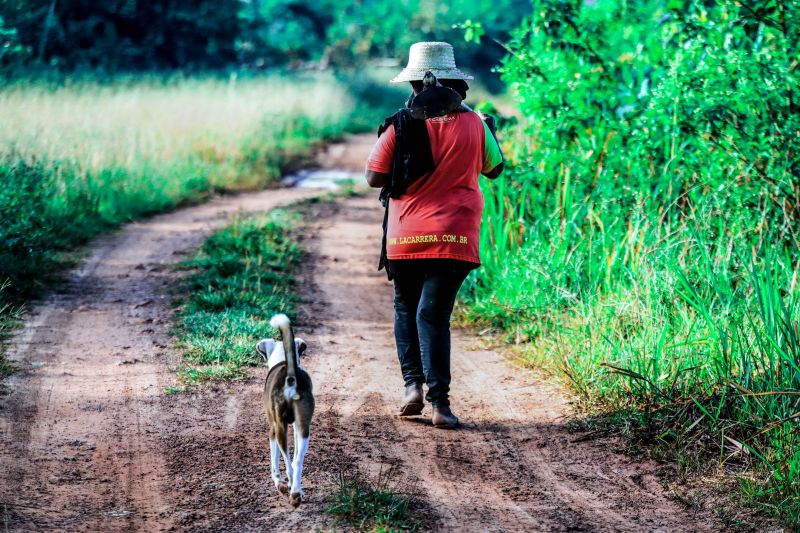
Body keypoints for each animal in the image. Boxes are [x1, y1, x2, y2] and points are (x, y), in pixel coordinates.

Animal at [260, 314, 316, 504]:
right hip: (304, 428)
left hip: (279, 428)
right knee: (297, 461)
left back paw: (289, 488)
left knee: (288, 462)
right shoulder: (296, 427)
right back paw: (296, 492)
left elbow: (275, 461)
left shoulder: (272, 429)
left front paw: (278, 481)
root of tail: (290, 377)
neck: (281, 360)